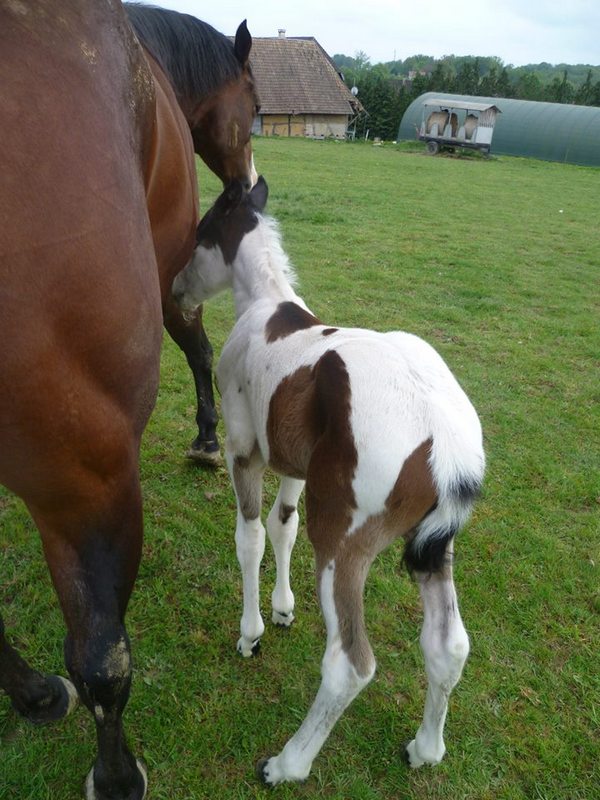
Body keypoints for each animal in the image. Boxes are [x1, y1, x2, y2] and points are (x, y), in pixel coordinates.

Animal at [172, 178, 482, 784]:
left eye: (198, 234)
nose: (175, 291)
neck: (266, 304)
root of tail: (444, 437)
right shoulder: (295, 468)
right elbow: (282, 526)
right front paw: (284, 609)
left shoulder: (245, 451)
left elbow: (251, 536)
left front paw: (252, 633)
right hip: (434, 548)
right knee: (449, 645)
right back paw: (425, 749)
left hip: (343, 538)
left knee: (350, 664)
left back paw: (287, 763)